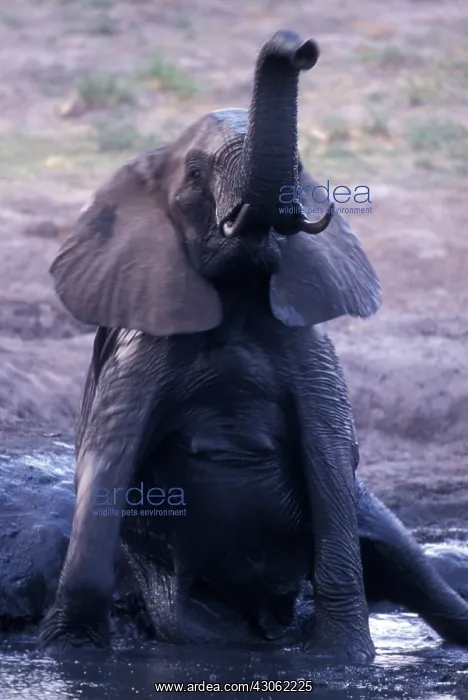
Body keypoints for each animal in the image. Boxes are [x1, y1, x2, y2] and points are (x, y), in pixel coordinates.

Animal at [40, 29, 468, 661]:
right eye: (195, 173)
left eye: (301, 165)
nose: (302, 47)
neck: (239, 293)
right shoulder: (142, 351)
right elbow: (108, 457)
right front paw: (71, 656)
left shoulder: (308, 351)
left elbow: (329, 459)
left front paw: (341, 662)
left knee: (409, 563)